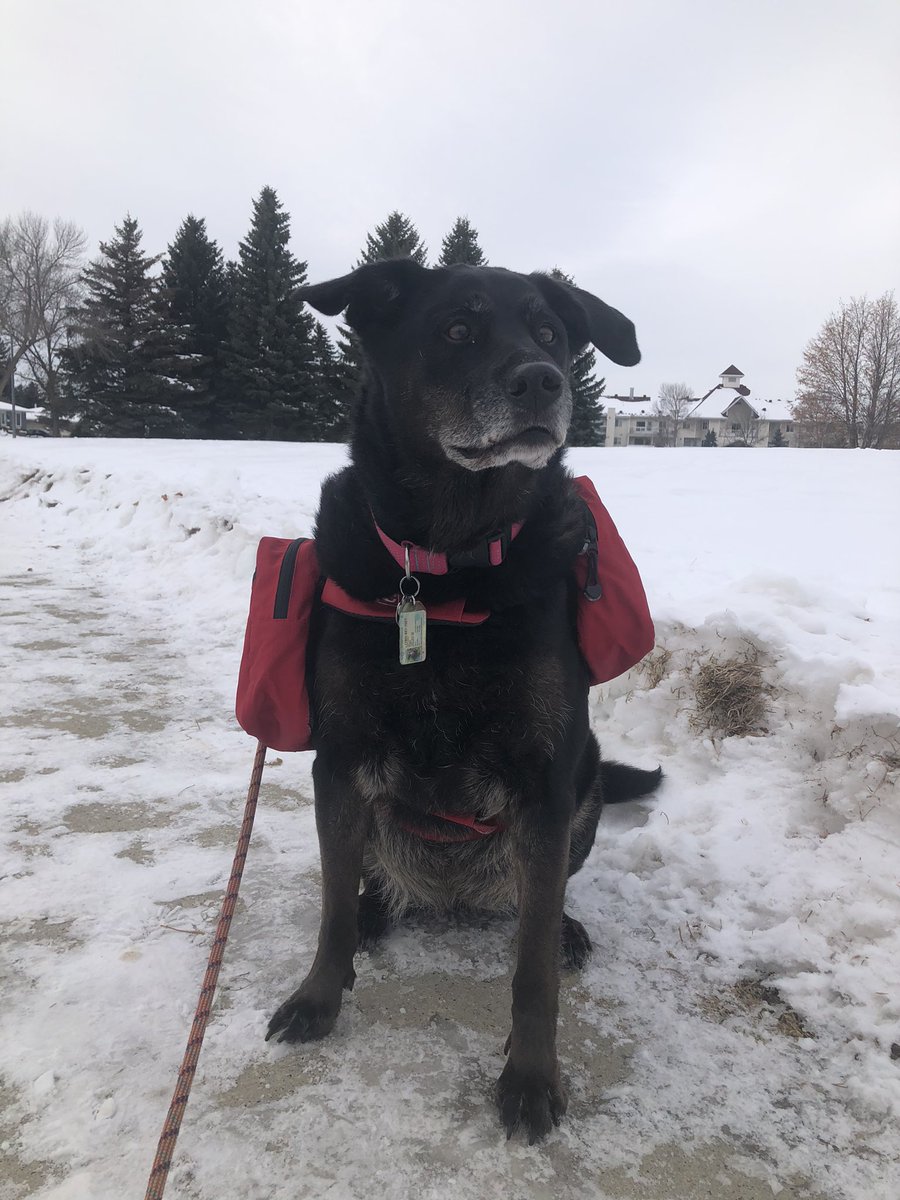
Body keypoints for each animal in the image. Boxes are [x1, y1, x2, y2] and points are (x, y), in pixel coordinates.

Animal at [264, 262, 657, 1142]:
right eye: (454, 330)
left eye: (550, 332)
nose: (543, 381)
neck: (448, 564)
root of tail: (452, 898)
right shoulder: (340, 762)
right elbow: (332, 905)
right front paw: (317, 996)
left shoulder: (546, 780)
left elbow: (533, 968)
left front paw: (532, 1078)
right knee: (370, 884)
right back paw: (381, 909)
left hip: (583, 786)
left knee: (541, 900)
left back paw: (562, 924)